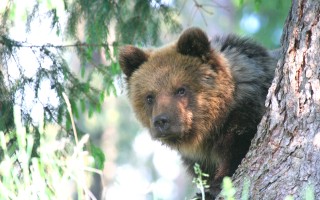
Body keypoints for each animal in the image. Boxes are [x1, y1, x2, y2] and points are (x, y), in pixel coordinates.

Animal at [119, 27, 276, 198]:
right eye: (149, 97)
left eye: (181, 90)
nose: (161, 121)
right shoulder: (198, 157)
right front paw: (204, 190)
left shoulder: (245, 114)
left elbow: (238, 149)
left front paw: (217, 184)